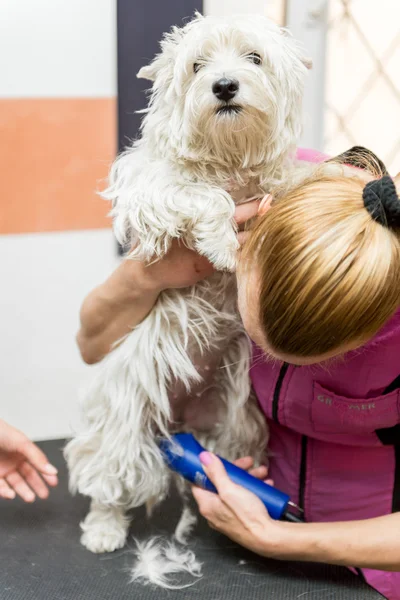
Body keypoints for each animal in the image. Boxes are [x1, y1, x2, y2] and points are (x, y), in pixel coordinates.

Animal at [65, 12, 310, 584]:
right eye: (198, 65)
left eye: (254, 57)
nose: (223, 86)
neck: (231, 156)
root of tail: (179, 420)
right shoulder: (148, 184)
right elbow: (201, 195)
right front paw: (221, 243)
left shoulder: (273, 179)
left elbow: (291, 181)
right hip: (126, 419)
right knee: (107, 478)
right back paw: (103, 531)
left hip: (237, 426)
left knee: (217, 470)